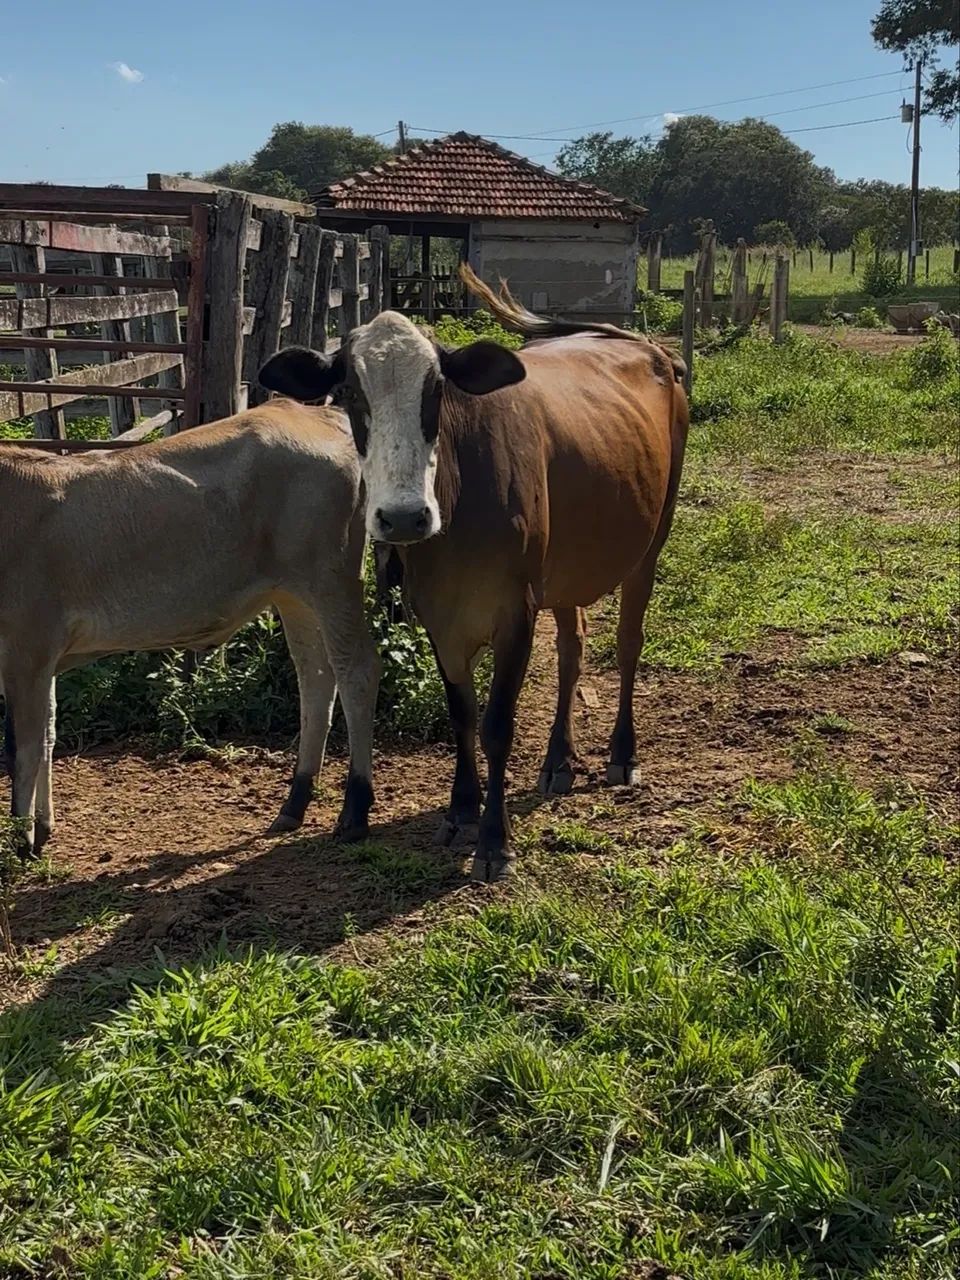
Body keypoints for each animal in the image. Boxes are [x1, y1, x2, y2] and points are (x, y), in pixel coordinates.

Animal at [0, 400, 379, 860]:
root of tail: (313, 412)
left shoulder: (26, 645)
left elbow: (23, 748)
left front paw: (19, 845)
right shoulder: (42, 657)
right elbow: (49, 735)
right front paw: (40, 830)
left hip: (333, 578)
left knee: (356, 671)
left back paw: (355, 810)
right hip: (293, 593)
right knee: (316, 679)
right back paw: (295, 802)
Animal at [260, 267, 688, 883]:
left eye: (438, 391)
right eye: (349, 394)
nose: (404, 518)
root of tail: (642, 345)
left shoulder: (516, 611)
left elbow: (496, 724)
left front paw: (494, 840)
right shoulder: (438, 616)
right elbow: (461, 713)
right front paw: (463, 808)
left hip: (651, 543)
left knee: (629, 642)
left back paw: (621, 752)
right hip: (567, 569)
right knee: (574, 646)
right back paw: (559, 760)